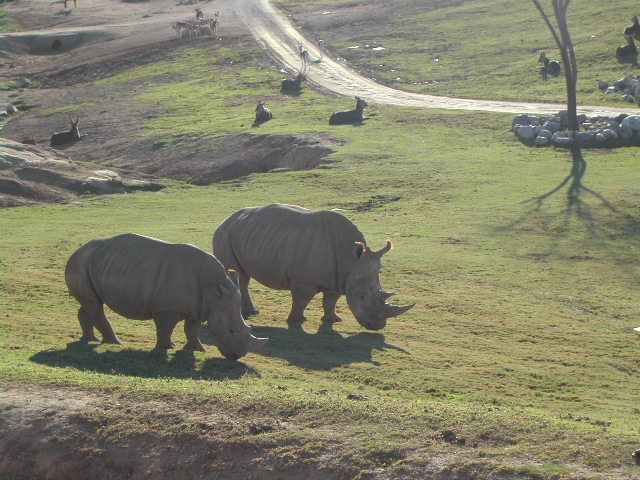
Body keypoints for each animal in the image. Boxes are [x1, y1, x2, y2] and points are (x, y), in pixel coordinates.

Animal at [67, 232, 270, 360]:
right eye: (231, 331)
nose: (236, 356)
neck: (214, 290)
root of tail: (75, 252)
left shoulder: (200, 307)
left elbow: (192, 328)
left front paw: (198, 349)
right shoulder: (167, 309)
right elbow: (166, 328)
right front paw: (166, 348)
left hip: (92, 263)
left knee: (89, 303)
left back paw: (90, 340)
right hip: (81, 262)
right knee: (94, 305)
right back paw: (115, 343)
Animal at [214, 202, 416, 330]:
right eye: (362, 297)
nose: (377, 327)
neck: (351, 260)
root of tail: (227, 219)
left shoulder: (339, 278)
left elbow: (331, 300)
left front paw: (333, 320)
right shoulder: (304, 281)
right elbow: (302, 300)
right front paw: (296, 322)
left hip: (248, 234)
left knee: (243, 276)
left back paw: (251, 312)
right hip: (225, 234)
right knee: (237, 274)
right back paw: (249, 312)